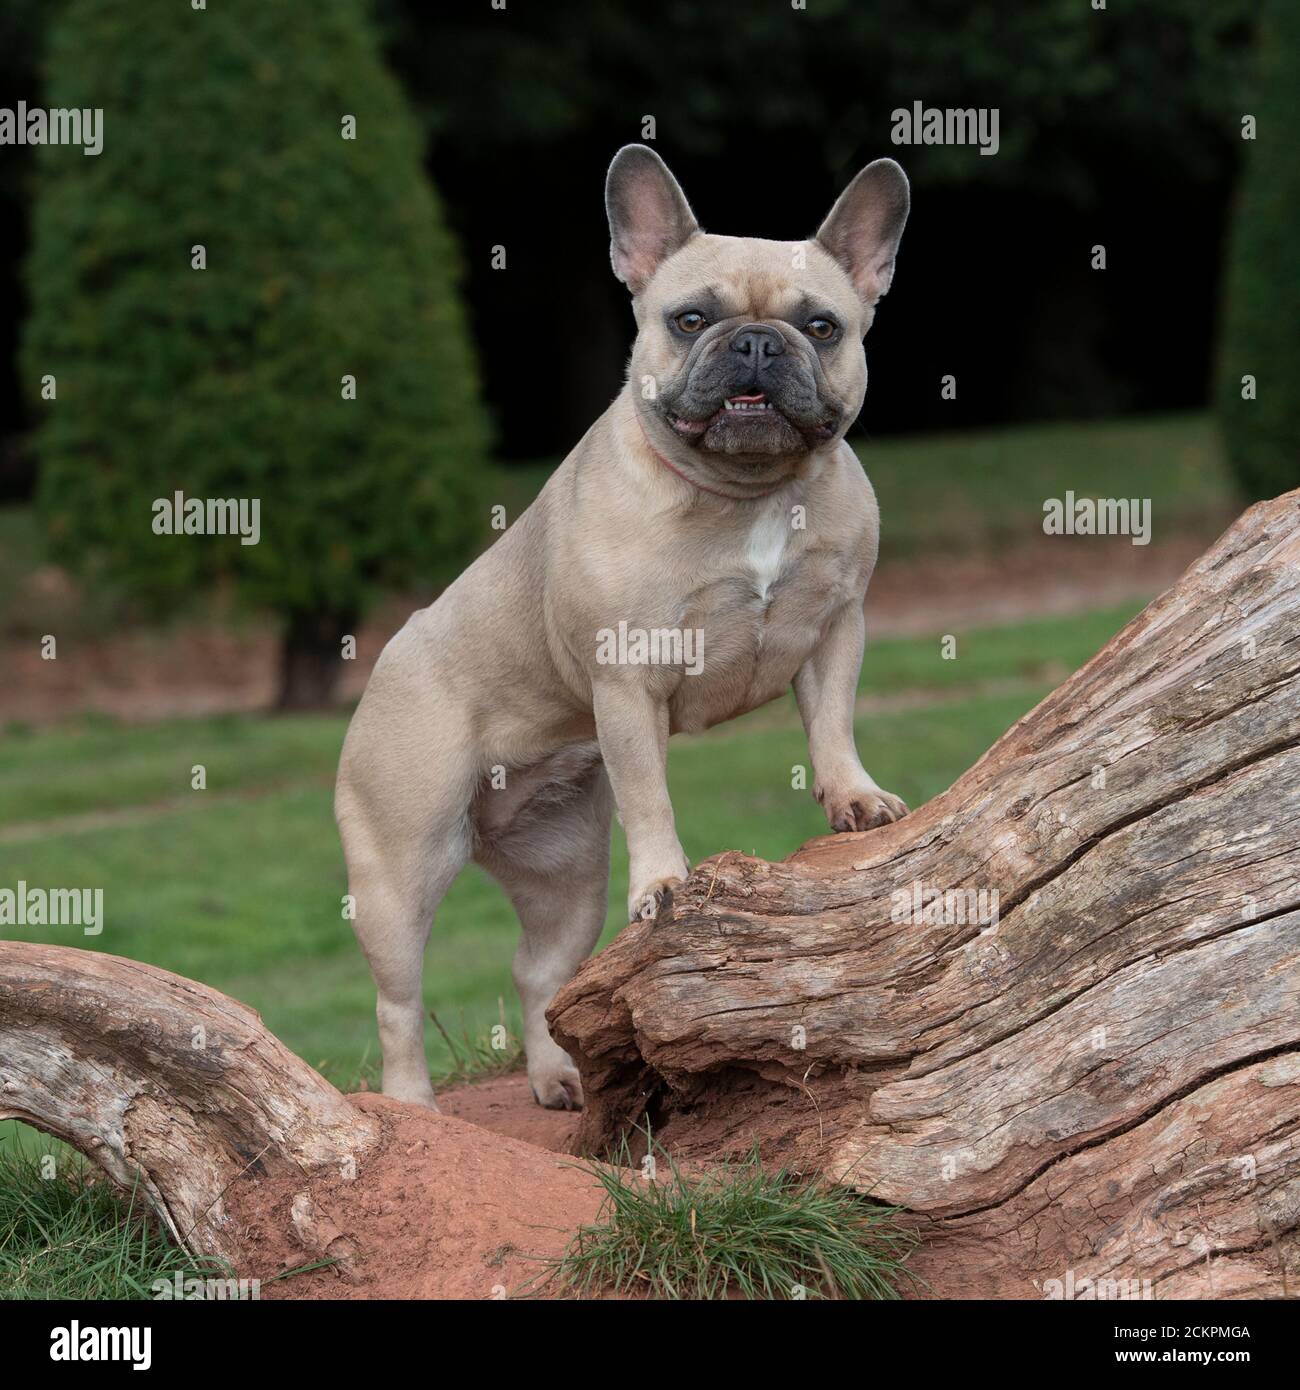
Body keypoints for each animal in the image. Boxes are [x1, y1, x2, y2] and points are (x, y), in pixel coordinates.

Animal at [335, 146, 917, 1112]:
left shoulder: (837, 625)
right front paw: (667, 887)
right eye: (691, 319)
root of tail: (387, 658)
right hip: (402, 861)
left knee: (539, 970)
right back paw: (411, 1109)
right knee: (397, 1000)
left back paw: (560, 1078)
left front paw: (854, 798)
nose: (757, 342)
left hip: (564, 866)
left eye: (822, 326)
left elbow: (831, 725)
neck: (745, 494)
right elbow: (652, 799)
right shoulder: (628, 678)